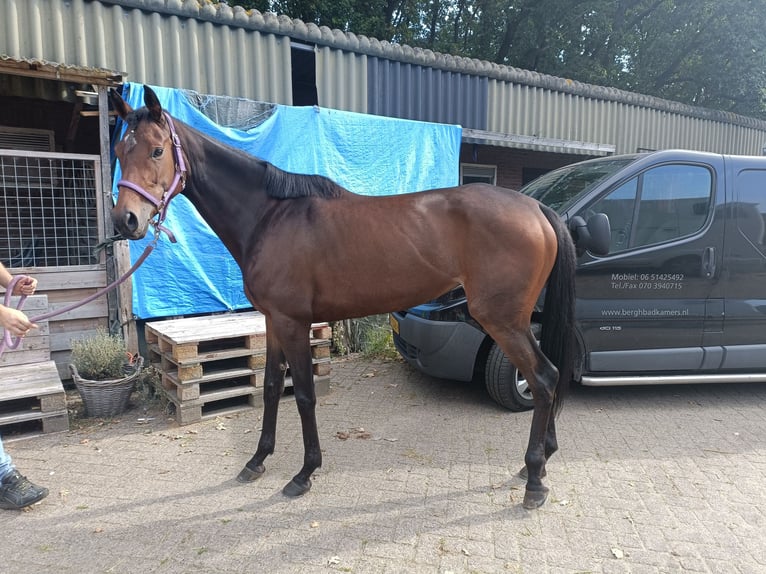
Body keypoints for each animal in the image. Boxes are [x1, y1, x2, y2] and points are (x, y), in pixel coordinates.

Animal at [108, 86, 576, 512]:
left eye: (156, 150)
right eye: (118, 150)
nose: (125, 220)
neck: (269, 215)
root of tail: (536, 209)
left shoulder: (295, 322)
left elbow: (303, 395)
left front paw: (304, 473)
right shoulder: (273, 321)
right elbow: (272, 387)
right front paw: (257, 461)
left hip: (503, 320)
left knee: (543, 378)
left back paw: (535, 479)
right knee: (550, 377)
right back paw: (539, 464)